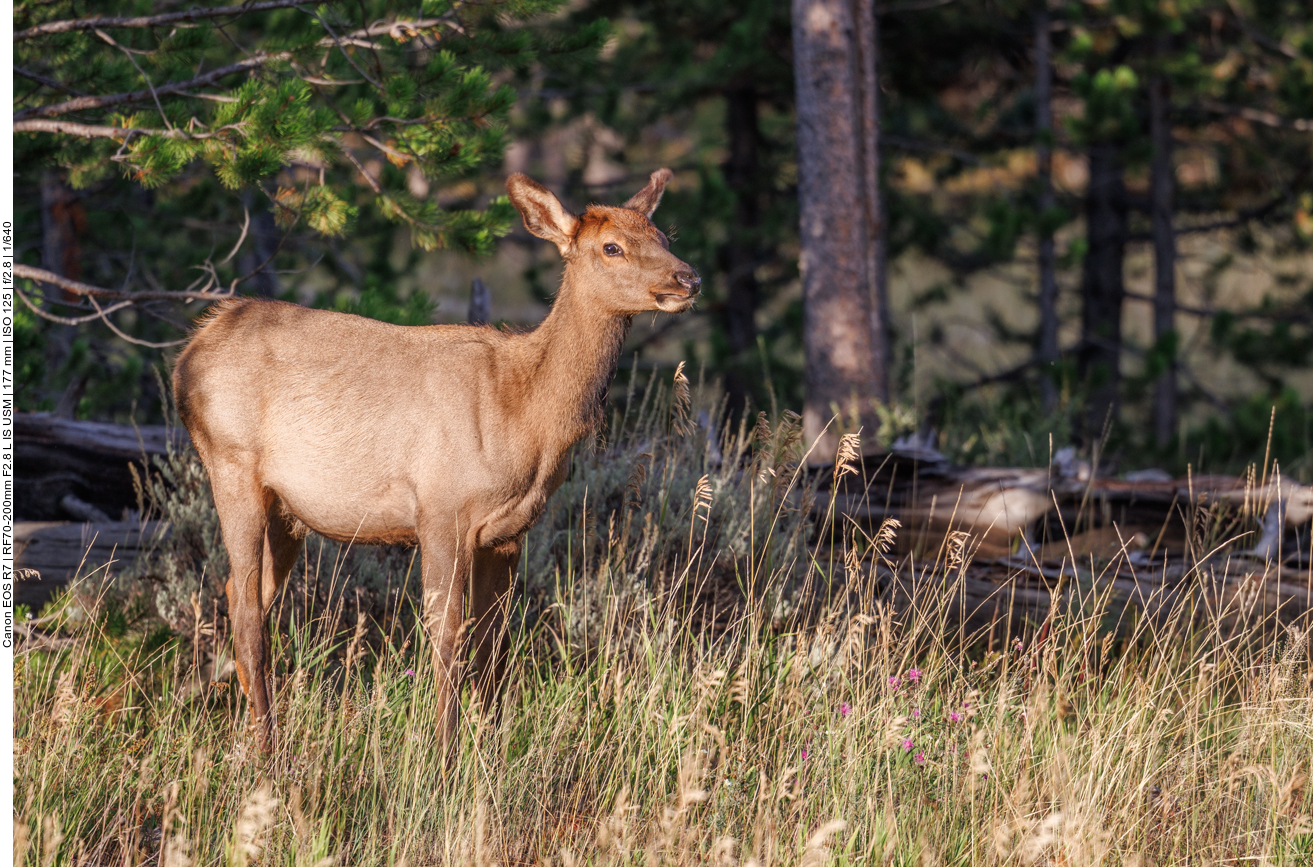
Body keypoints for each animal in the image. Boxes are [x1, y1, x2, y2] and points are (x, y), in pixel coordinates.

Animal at [174, 169, 698, 751]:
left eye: (664, 236)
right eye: (611, 247)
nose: (688, 279)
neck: (526, 412)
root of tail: (191, 350)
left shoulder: (509, 531)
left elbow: (493, 646)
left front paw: (489, 752)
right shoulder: (442, 509)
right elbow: (448, 639)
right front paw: (444, 755)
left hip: (287, 508)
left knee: (245, 595)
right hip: (230, 463)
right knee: (246, 609)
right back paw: (268, 751)